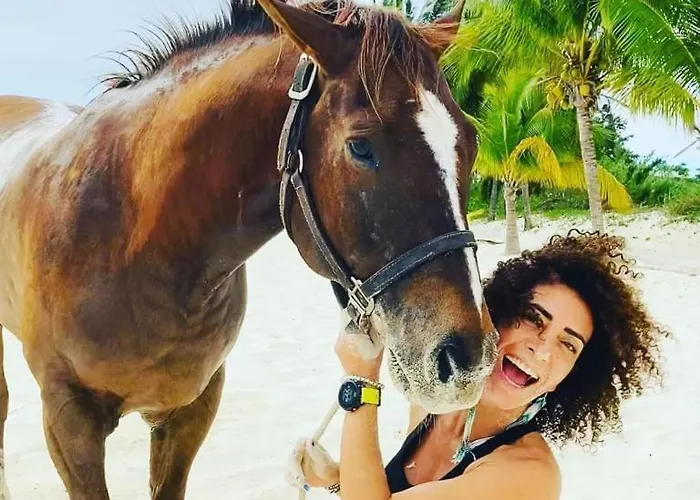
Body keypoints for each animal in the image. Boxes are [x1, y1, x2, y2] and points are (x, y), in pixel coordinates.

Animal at [0, 0, 497, 498]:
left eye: (470, 141)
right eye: (360, 147)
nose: (468, 360)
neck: (130, 241)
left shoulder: (192, 410)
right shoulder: (68, 424)